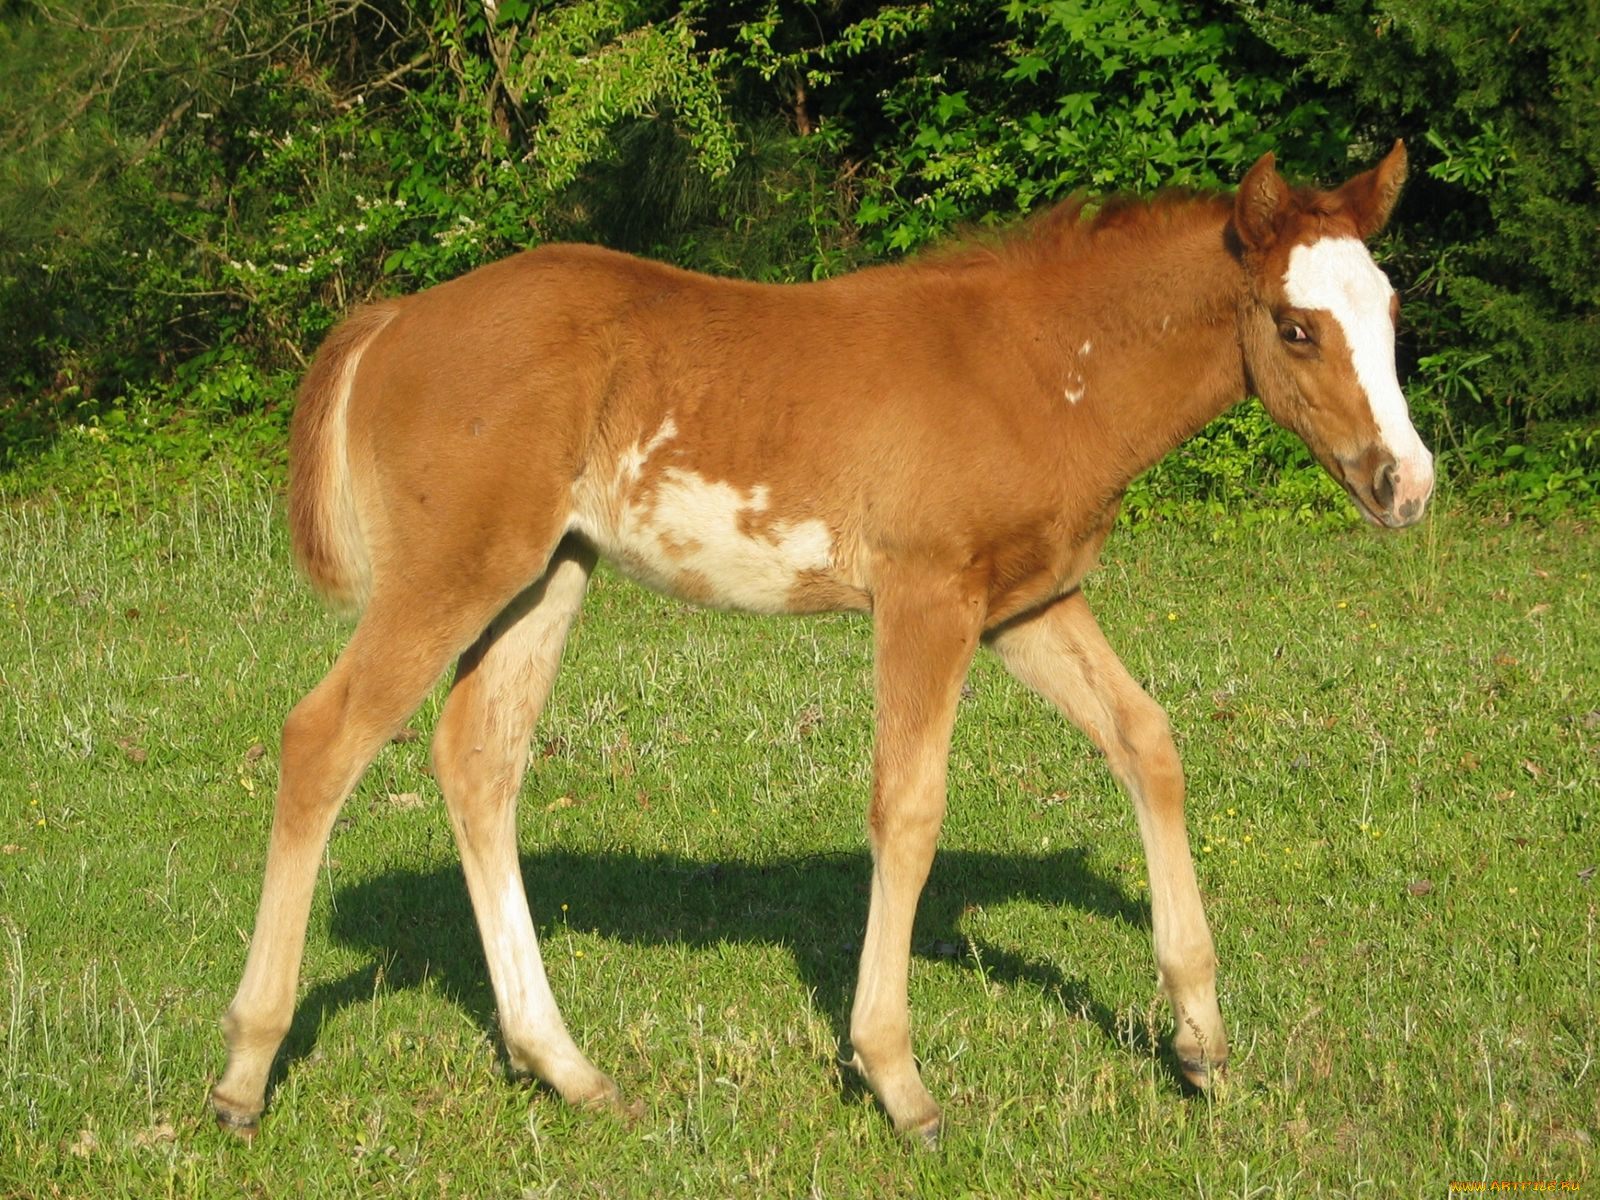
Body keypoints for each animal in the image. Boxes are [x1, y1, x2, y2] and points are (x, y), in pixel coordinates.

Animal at [216, 140, 1440, 1145]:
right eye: (1294, 327)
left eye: (1388, 313)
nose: (1405, 485)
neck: (1041, 367)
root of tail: (393, 321)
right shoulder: (926, 599)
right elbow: (908, 805)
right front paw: (897, 1082)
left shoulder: (1028, 608)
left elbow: (1147, 742)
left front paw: (1198, 1041)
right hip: (450, 576)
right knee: (321, 740)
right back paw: (244, 1072)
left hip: (544, 578)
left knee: (477, 759)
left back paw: (566, 1067)